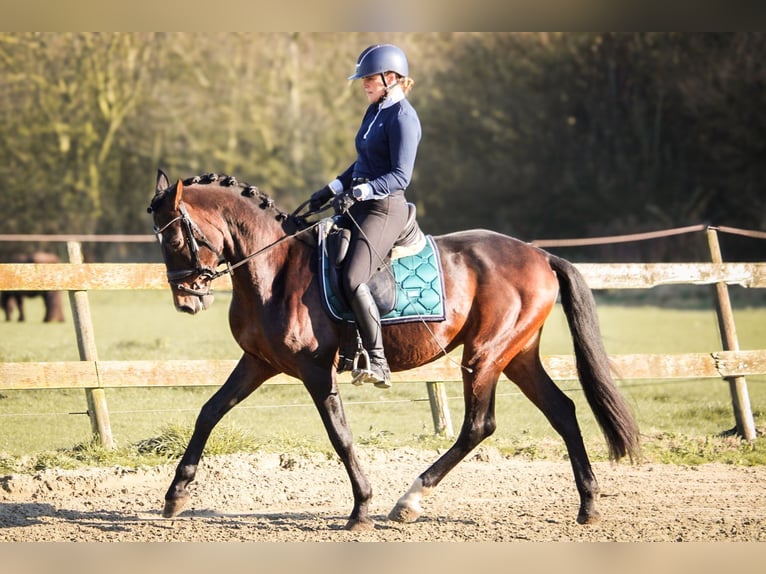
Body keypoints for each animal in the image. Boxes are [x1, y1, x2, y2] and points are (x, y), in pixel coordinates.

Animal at [147, 170, 640, 532]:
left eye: (173, 239)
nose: (187, 300)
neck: (275, 268)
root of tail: (540, 255)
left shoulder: (315, 370)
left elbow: (340, 436)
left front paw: (361, 509)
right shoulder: (259, 363)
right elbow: (209, 412)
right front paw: (175, 496)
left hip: (484, 356)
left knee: (478, 426)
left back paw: (409, 500)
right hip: (517, 355)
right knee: (563, 411)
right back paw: (588, 504)